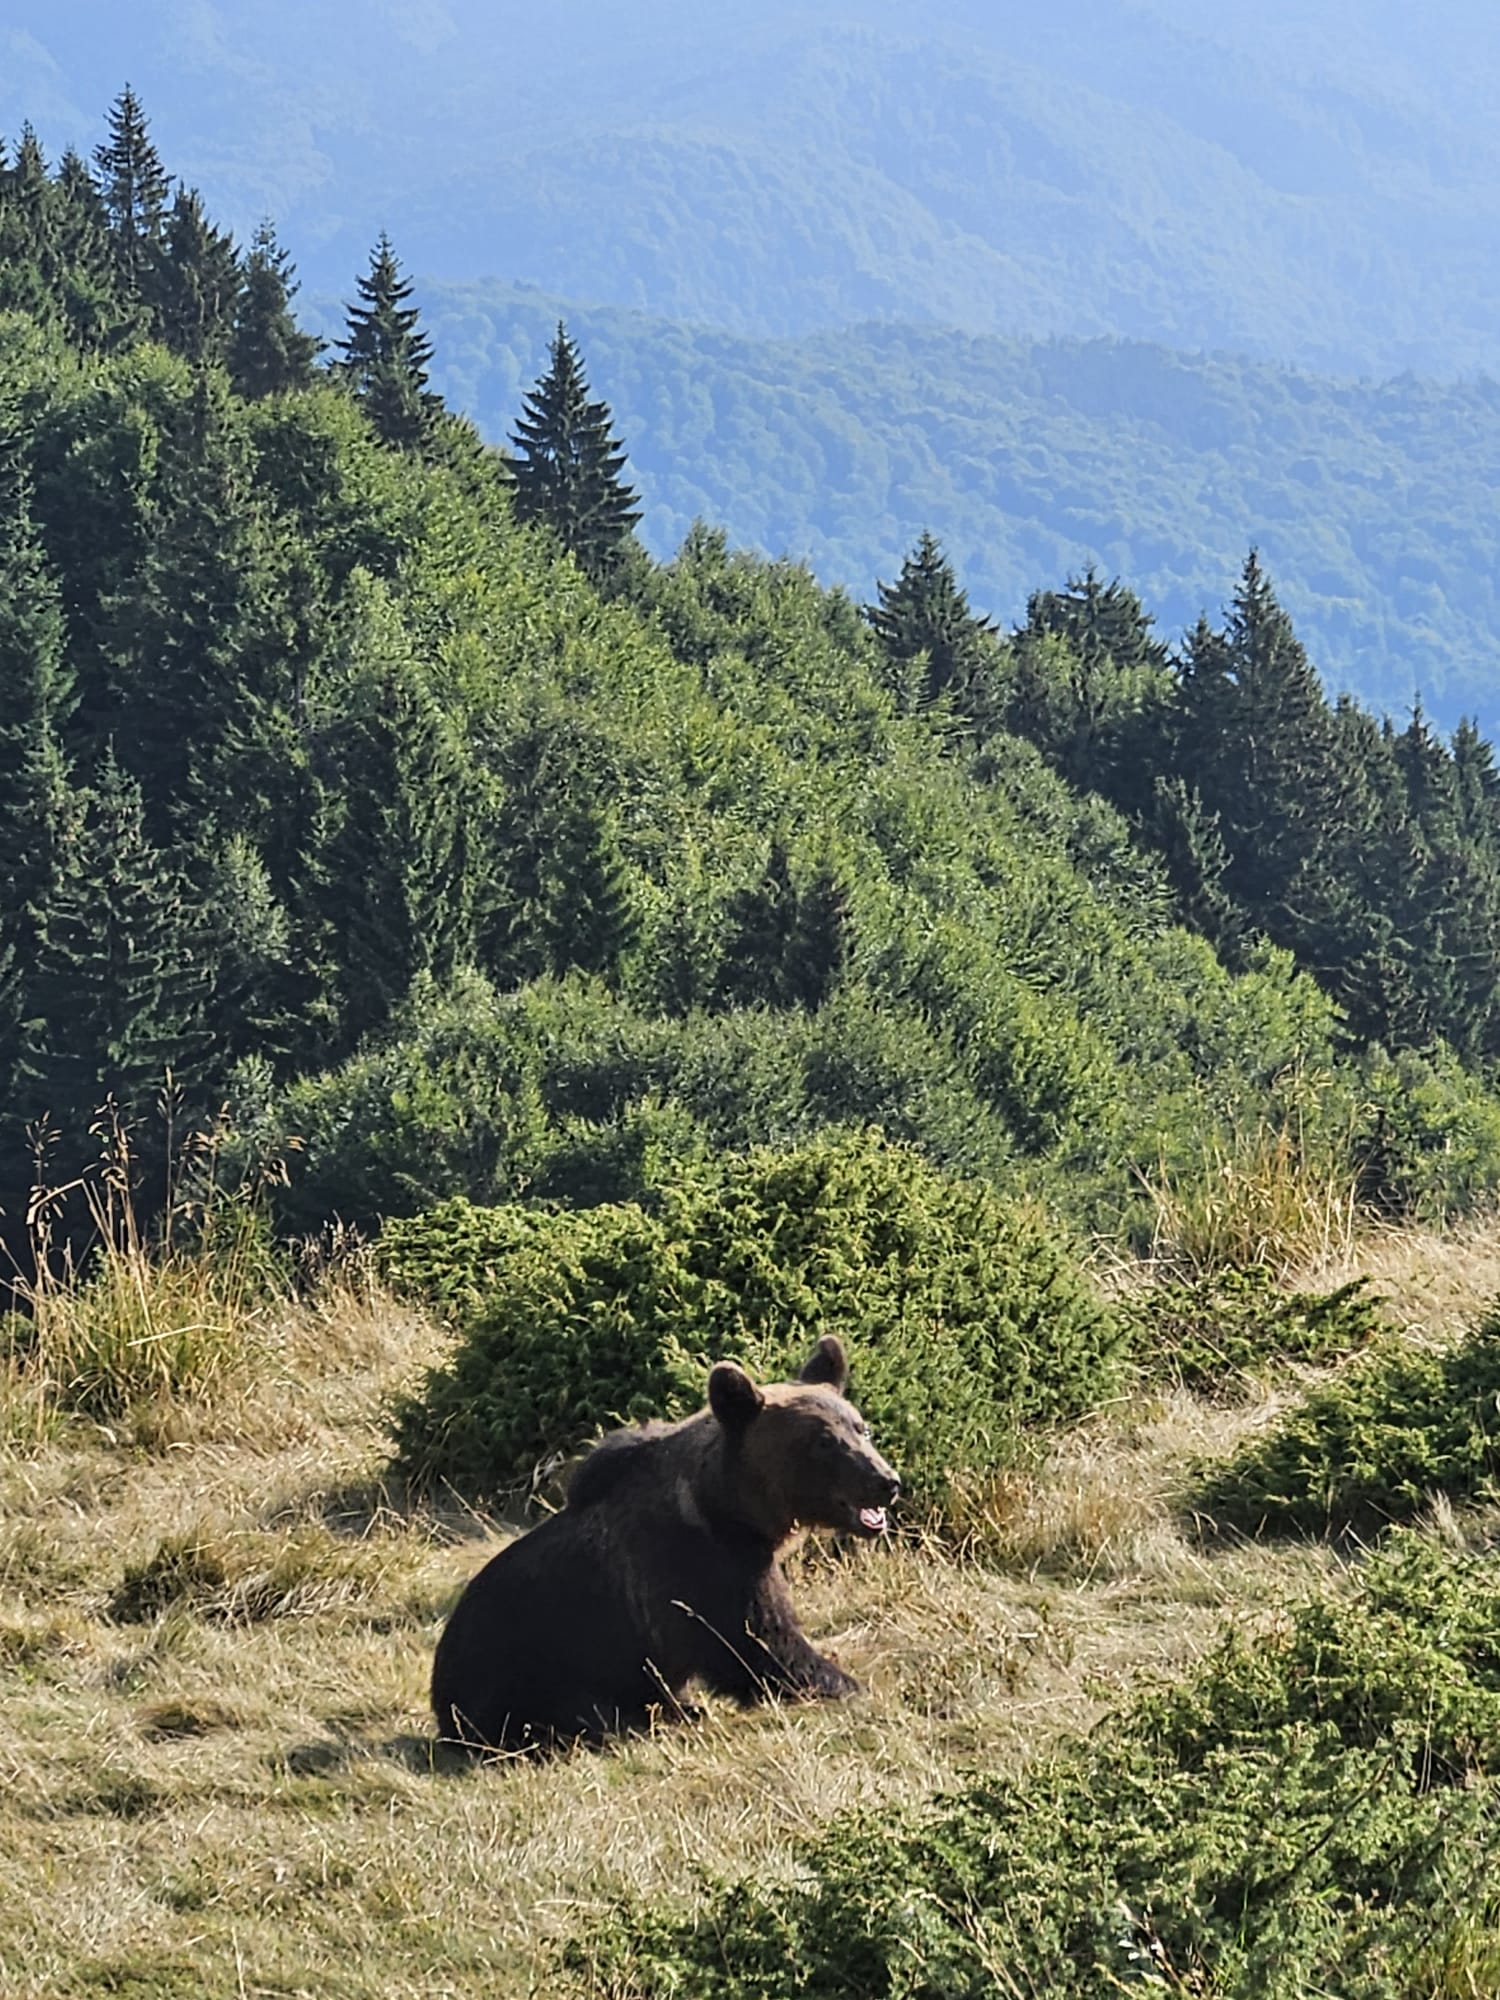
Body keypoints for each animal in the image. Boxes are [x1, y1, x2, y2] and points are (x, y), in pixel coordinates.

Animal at [434, 1344, 904, 1752]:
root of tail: (441, 1702)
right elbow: (760, 1645)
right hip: (531, 1676)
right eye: (823, 1441)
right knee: (585, 1714)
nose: (887, 1481)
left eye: (861, 1428)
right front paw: (846, 1683)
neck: (732, 1508)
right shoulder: (707, 1569)